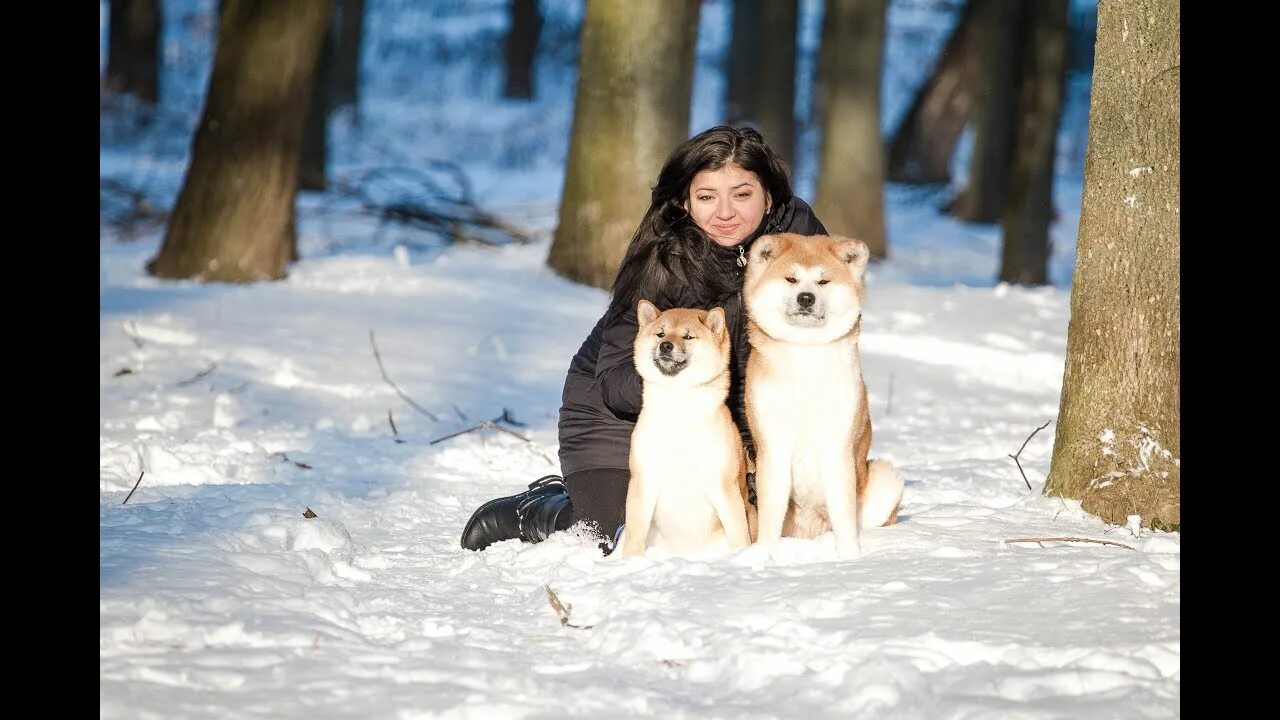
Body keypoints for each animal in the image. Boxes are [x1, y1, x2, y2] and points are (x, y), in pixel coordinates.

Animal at [622, 297, 752, 556]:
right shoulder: (644, 479)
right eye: (660, 334)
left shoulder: (723, 484)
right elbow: (634, 534)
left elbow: (739, 536)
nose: (665, 346)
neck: (679, 405)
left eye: (688, 336)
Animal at [742, 233, 901, 558]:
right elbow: (770, 516)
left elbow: (843, 515)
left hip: (885, 479)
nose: (806, 298)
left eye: (823, 281)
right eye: (791, 279)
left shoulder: (838, 446)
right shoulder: (773, 447)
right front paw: (765, 557)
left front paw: (850, 558)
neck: (805, 355)